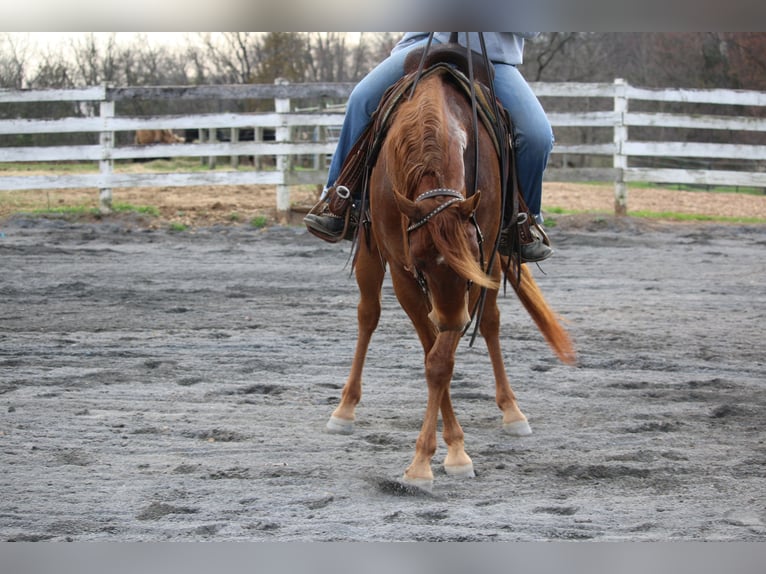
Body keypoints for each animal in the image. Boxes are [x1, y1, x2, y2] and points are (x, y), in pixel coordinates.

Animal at [325, 64, 576, 489]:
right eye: (421, 262)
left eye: (469, 258)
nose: (453, 319)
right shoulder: (404, 273)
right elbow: (433, 356)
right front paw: (434, 456)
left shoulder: (481, 264)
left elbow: (441, 359)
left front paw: (447, 454)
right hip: (370, 253)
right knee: (368, 315)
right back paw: (344, 408)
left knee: (489, 324)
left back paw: (511, 409)